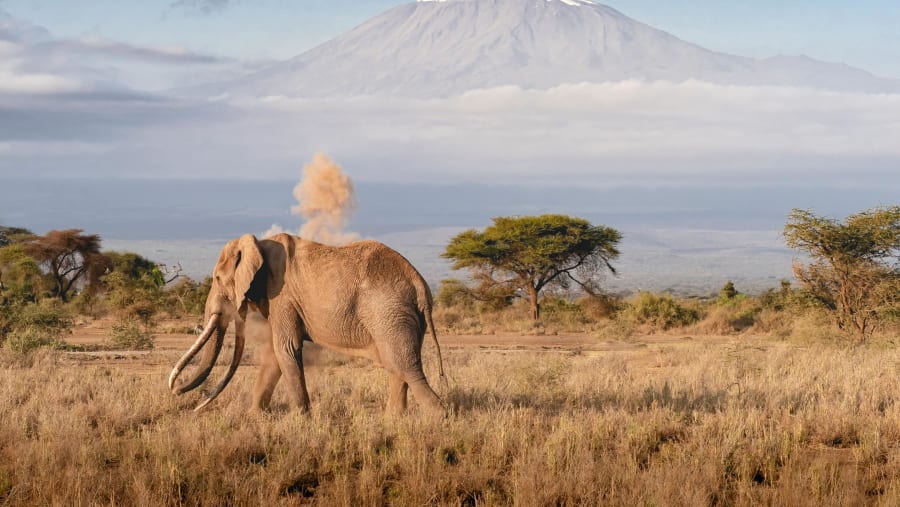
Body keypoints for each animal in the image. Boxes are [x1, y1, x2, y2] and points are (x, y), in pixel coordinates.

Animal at [168, 233, 446, 415]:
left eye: (216, 278)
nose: (179, 393)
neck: (258, 243)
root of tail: (420, 284)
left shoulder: (282, 296)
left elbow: (286, 348)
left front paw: (301, 419)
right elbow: (275, 354)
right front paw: (256, 416)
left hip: (389, 313)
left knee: (405, 367)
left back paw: (437, 418)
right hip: (400, 316)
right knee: (397, 366)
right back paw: (393, 422)